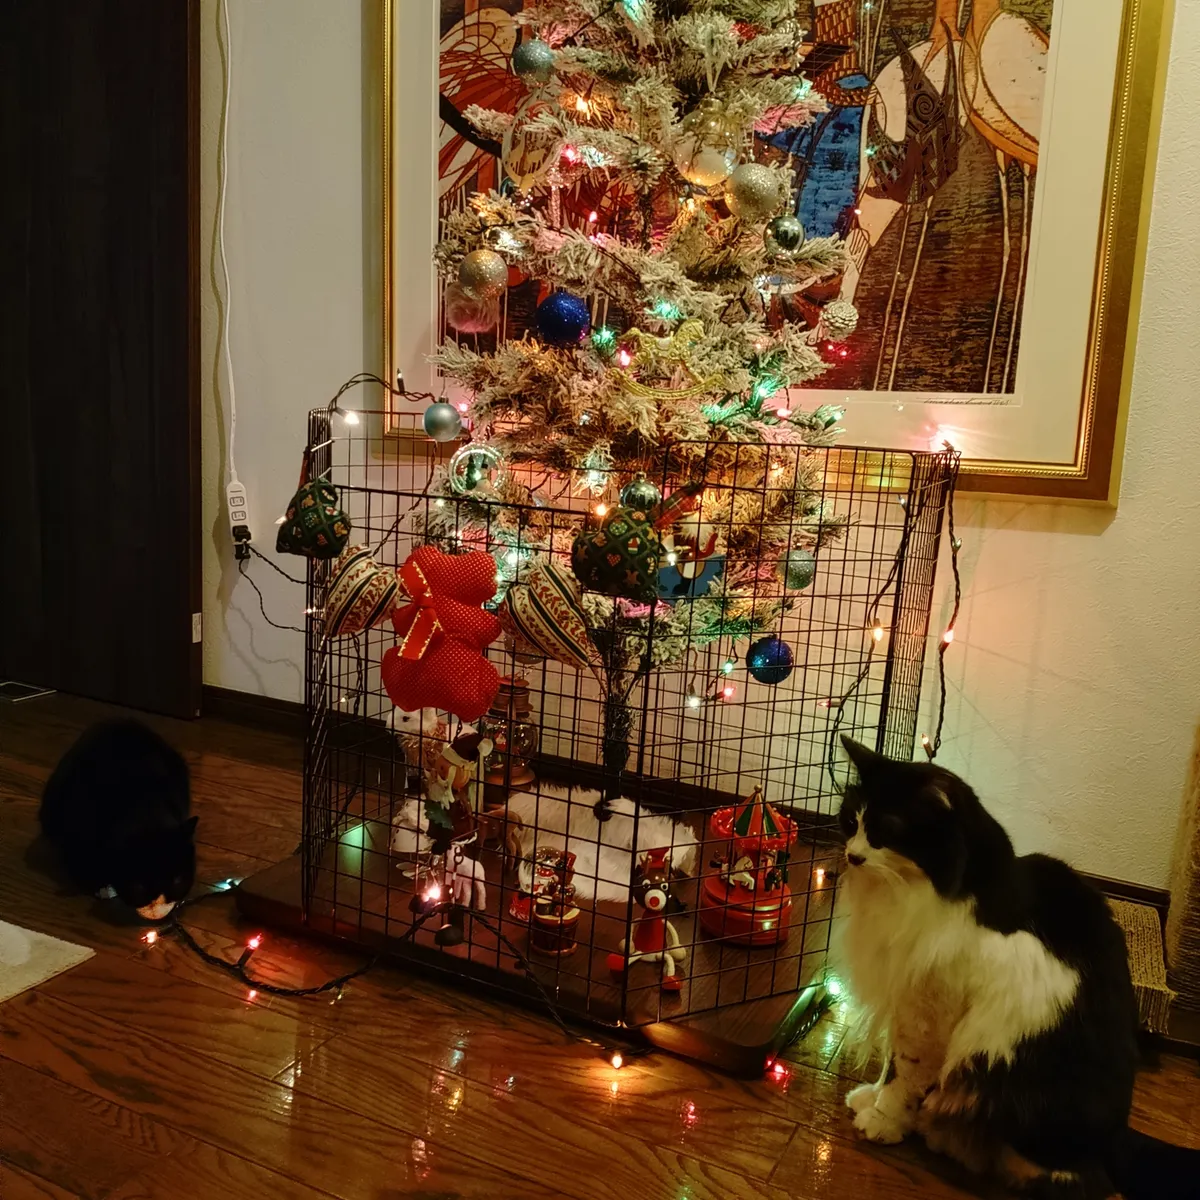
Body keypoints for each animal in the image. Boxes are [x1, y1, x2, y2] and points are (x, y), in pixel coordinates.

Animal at [835, 736, 1198, 1199]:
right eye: (850, 820)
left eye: (886, 830)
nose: (852, 855)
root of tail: (1119, 1138)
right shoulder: (906, 991)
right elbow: (890, 1065)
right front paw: (871, 1099)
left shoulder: (930, 1010)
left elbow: (905, 1073)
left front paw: (884, 1120)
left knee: (1072, 1177)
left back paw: (955, 1142)